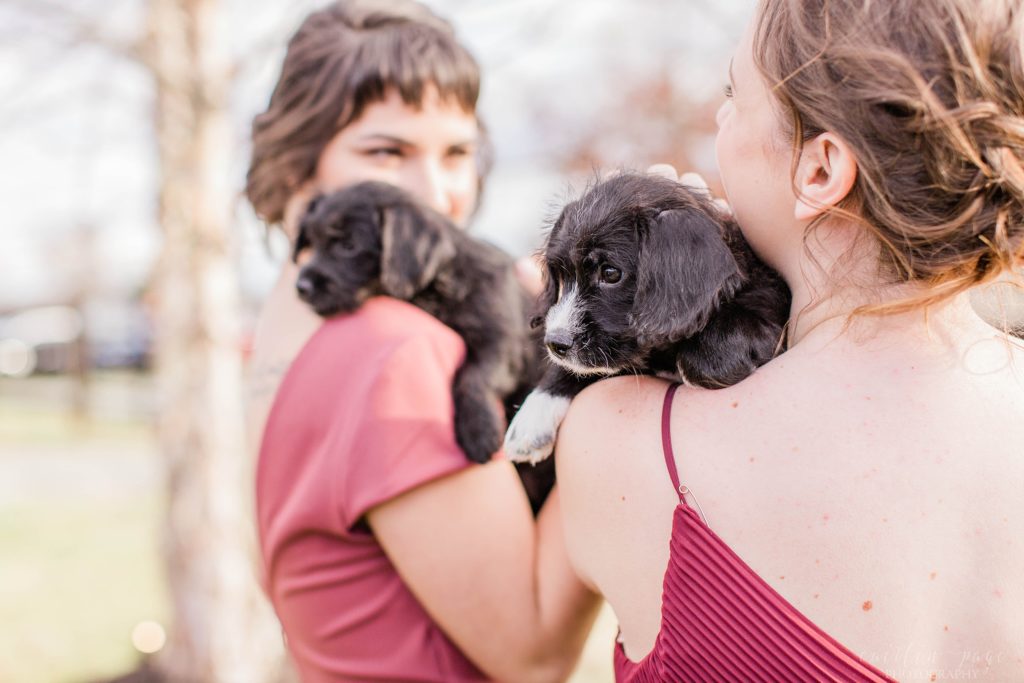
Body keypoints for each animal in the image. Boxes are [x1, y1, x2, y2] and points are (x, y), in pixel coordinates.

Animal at [292, 180, 540, 471]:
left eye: (349, 245)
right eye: (312, 243)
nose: (301, 288)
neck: (438, 285)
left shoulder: (502, 340)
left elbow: (474, 376)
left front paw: (478, 430)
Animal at [503, 172, 790, 464]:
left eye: (610, 273)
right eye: (560, 275)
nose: (555, 344)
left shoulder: (769, 313)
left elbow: (711, 353)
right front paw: (531, 421)